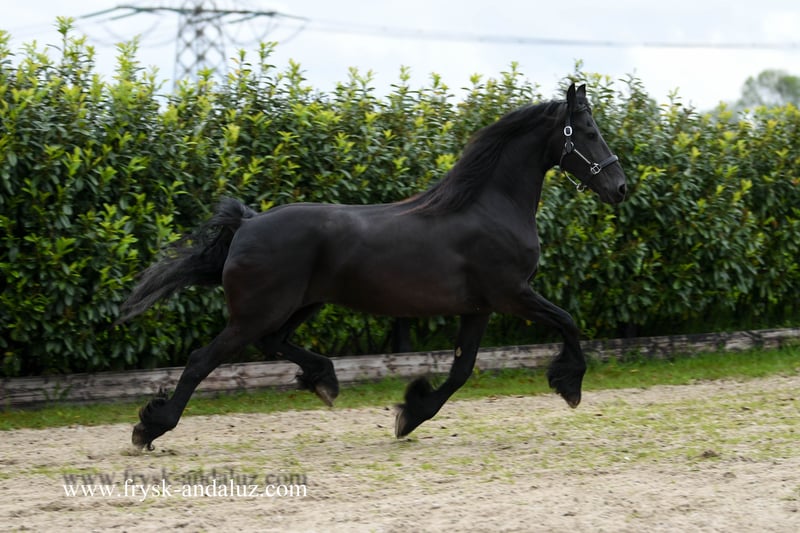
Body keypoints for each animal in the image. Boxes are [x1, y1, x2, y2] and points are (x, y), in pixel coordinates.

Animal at [117, 83, 627, 450]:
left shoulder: (479, 307)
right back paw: (150, 428)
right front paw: (569, 386)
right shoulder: (512, 294)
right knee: (203, 360)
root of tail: (246, 223)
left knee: (273, 343)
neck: (489, 207)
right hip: (259, 312)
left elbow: (461, 371)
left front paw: (411, 414)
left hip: (300, 305)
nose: (620, 187)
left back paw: (325, 381)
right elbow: (568, 322)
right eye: (587, 130)